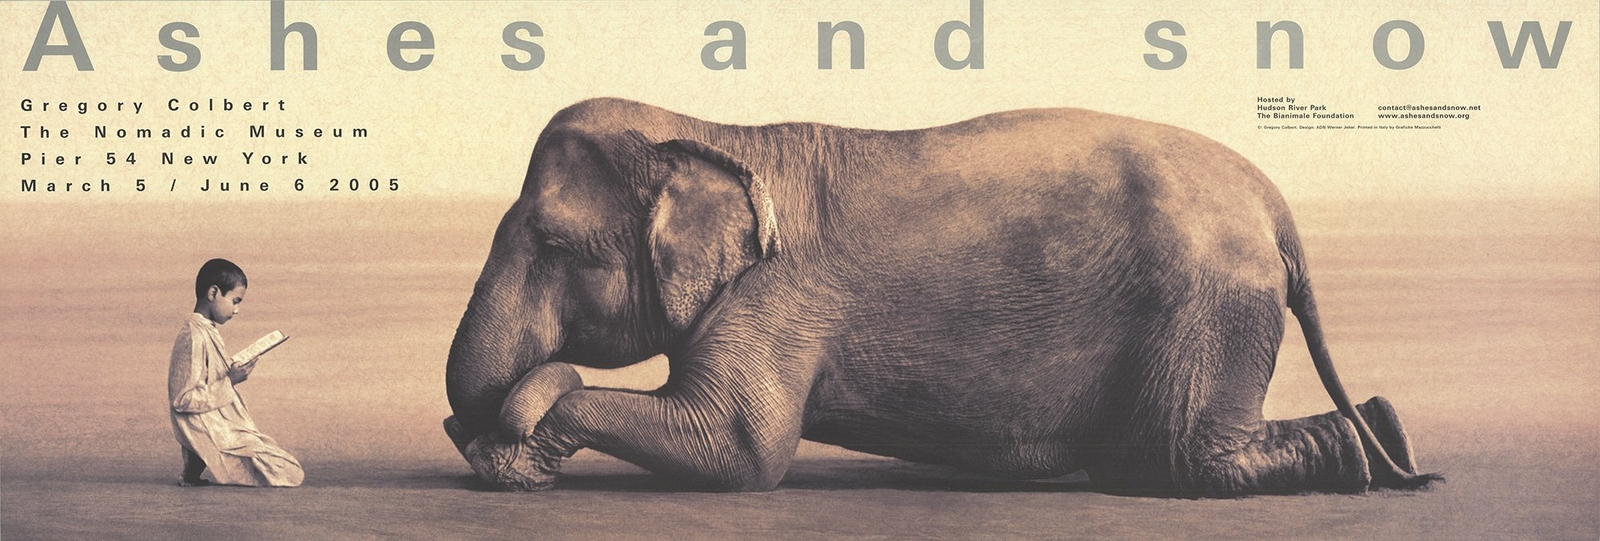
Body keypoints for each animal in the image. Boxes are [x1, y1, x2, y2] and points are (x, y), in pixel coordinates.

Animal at [442, 98, 1441, 496]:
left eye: (552, 243)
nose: (464, 422)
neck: (710, 131)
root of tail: (1275, 204)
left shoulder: (779, 296)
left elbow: (739, 450)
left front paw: (516, 444)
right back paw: (1385, 434)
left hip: (1207, 303)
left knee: (1176, 462)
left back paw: (1361, 456)